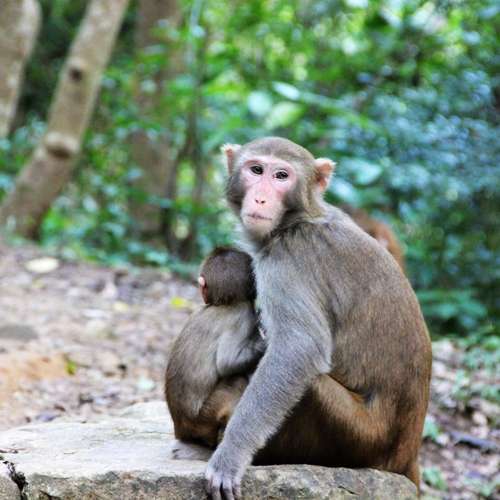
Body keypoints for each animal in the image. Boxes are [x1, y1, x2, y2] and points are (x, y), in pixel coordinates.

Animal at [165, 247, 265, 451]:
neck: (226, 303)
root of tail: (180, 428)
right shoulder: (244, 314)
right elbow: (227, 363)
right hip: (204, 417)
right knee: (236, 379)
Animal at [197, 137, 432, 500]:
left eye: (281, 176)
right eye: (256, 170)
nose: (261, 197)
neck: (297, 220)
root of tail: (407, 455)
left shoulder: (288, 260)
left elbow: (298, 349)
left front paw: (230, 456)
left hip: (358, 439)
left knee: (311, 385)